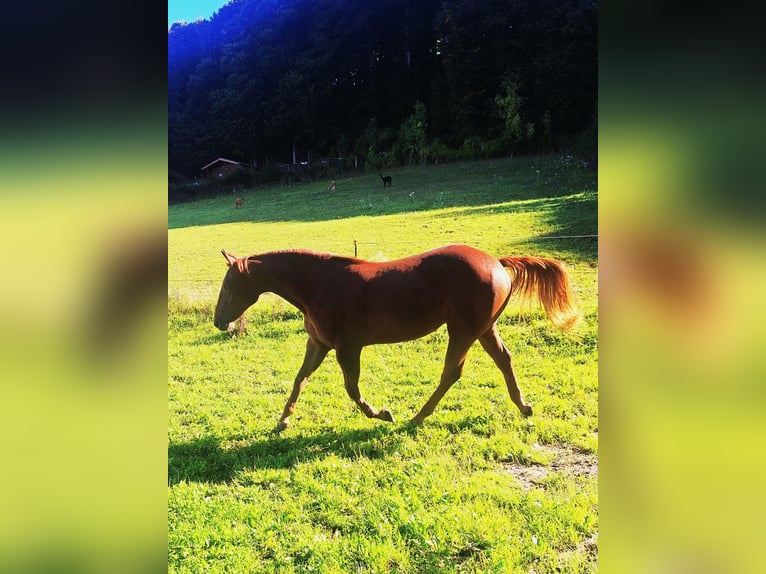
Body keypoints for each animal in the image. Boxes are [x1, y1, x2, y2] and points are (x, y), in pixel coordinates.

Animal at [213, 244, 579, 431]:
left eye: (229, 284)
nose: (218, 322)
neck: (319, 286)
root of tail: (497, 262)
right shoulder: (318, 345)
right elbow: (299, 380)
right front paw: (283, 421)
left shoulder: (348, 348)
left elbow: (352, 390)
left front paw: (383, 414)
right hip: (484, 329)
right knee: (504, 360)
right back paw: (523, 406)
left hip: (463, 330)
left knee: (452, 372)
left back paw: (416, 417)